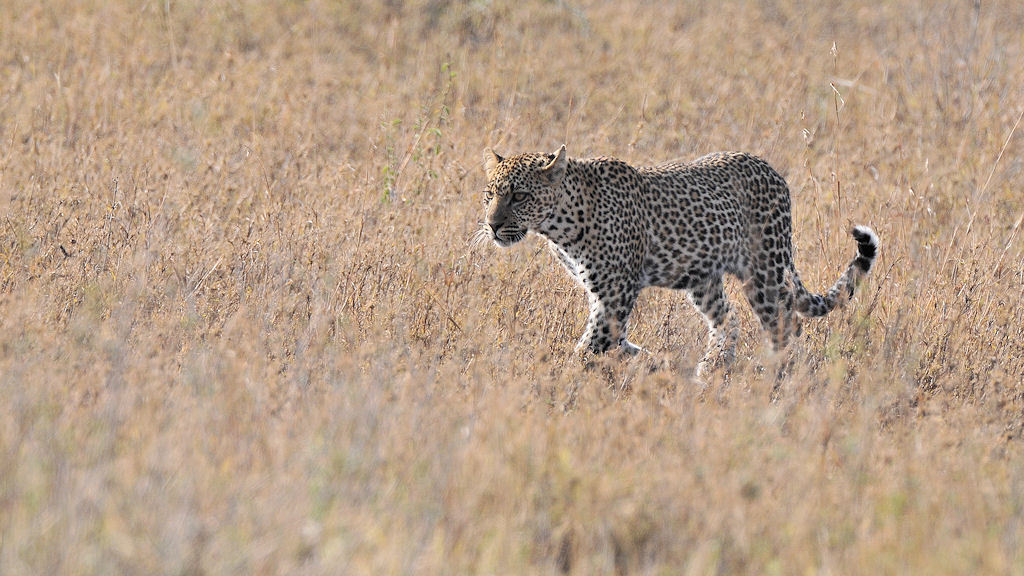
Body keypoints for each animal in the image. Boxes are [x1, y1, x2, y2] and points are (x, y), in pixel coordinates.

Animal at [478, 144, 879, 374]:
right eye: (490, 194)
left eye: (520, 196)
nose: (492, 225)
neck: (560, 226)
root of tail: (774, 172)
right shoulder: (603, 293)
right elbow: (612, 338)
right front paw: (647, 358)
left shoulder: (616, 292)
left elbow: (593, 341)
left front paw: (563, 374)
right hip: (702, 278)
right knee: (729, 318)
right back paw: (712, 367)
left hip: (765, 271)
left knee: (785, 324)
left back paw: (774, 375)